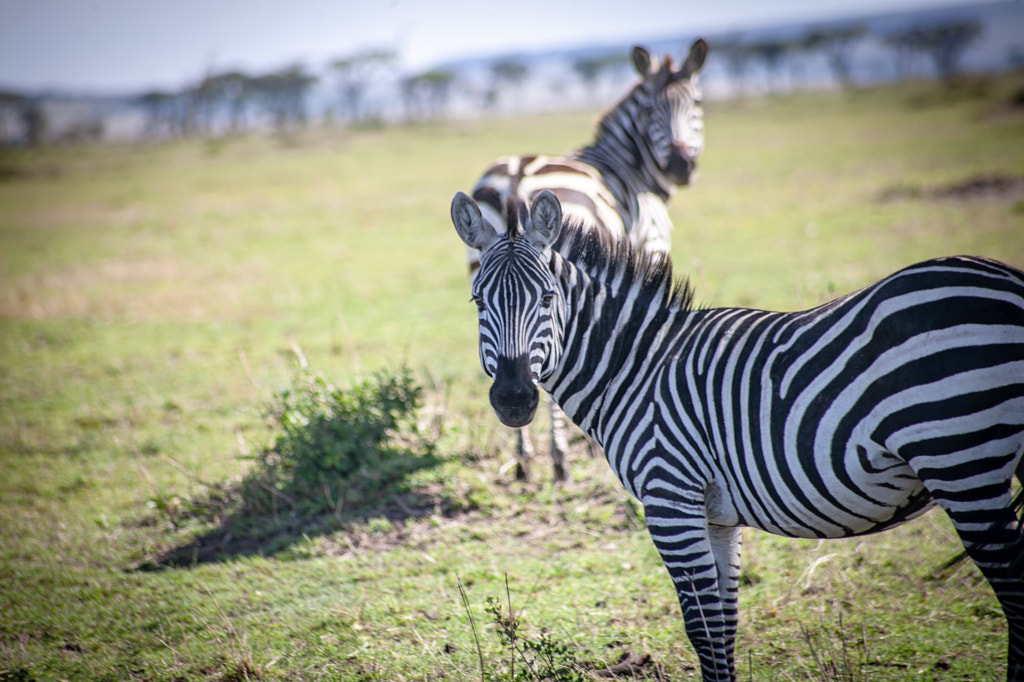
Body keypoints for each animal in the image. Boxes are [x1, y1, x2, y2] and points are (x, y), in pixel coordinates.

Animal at [452, 188, 1024, 679]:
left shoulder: (670, 500)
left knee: (1016, 595)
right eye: (478, 303)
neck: (637, 367)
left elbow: (702, 630)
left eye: (548, 298)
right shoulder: (717, 514)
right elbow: (724, 628)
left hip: (960, 459)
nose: (514, 399)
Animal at [468, 38, 708, 483]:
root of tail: (518, 176)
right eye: (649, 109)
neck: (627, 169)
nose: (681, 166)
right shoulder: (651, 246)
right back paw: (559, 457)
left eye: (696, 103)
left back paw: (524, 458)